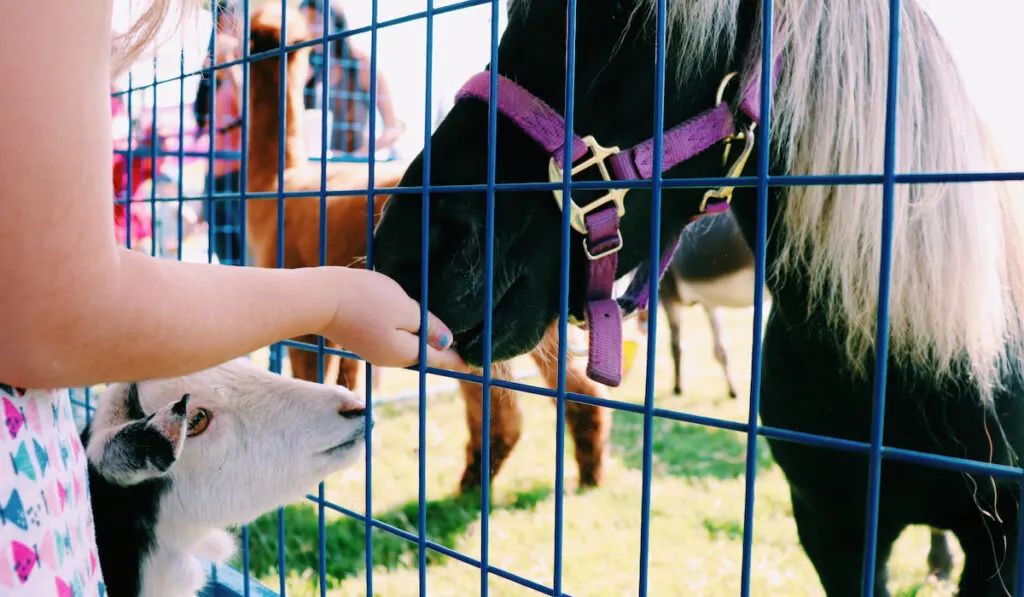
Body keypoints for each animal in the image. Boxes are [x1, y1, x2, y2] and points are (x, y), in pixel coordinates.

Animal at [245, 3, 614, 491]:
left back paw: (470, 486)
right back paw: (588, 478)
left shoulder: (304, 311)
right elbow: (354, 386)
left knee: (503, 411)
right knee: (581, 393)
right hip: (527, 314)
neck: (279, 185)